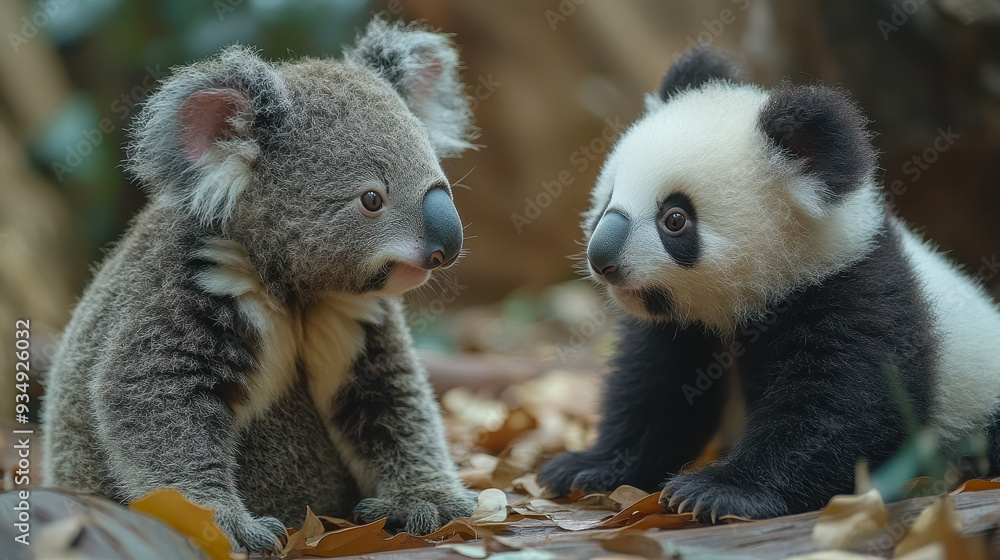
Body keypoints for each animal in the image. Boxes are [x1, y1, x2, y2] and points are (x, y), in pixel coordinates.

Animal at [538, 46, 1000, 522]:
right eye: (608, 198)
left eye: (675, 219)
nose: (602, 259)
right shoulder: (681, 329)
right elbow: (656, 391)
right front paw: (588, 466)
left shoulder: (850, 292)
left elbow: (840, 407)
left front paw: (719, 490)